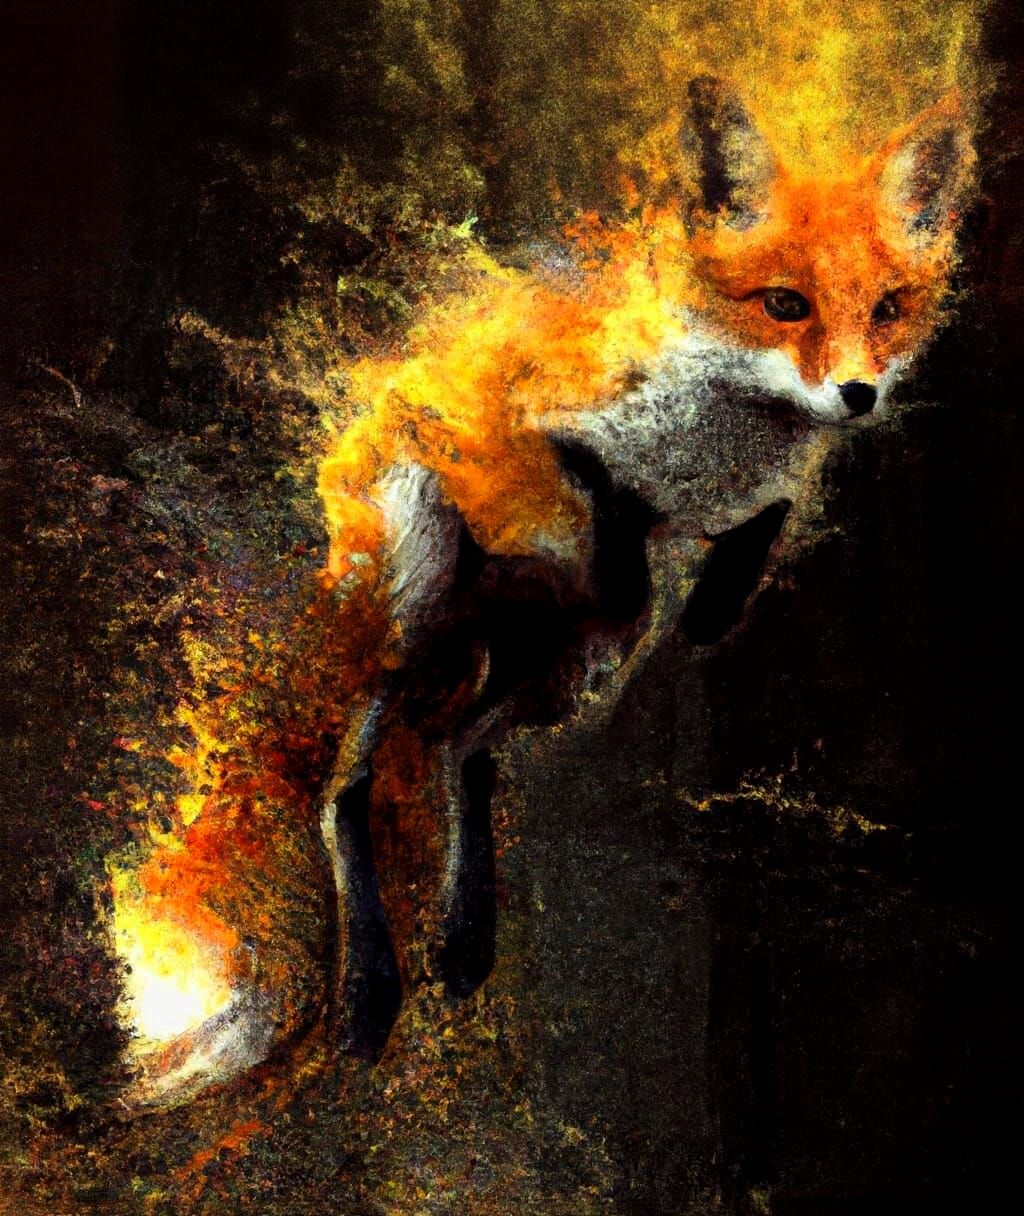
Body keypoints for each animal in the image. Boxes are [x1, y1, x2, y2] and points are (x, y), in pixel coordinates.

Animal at [110, 78, 976, 1108]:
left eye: (889, 308)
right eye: (785, 304)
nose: (857, 394)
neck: (720, 430)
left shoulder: (746, 500)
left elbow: (753, 522)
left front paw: (716, 604)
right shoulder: (549, 439)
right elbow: (607, 520)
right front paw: (644, 569)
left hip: (572, 674)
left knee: (461, 753)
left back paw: (464, 936)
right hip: (419, 595)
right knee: (347, 788)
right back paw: (370, 989)